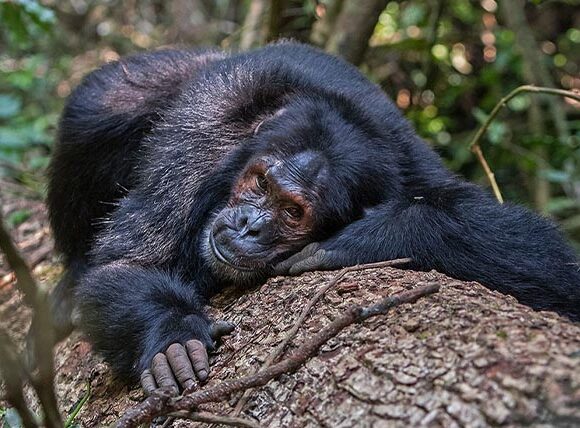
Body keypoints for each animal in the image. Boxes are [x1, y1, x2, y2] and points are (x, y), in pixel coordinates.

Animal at [42, 41, 580, 392]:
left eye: (292, 210)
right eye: (261, 183)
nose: (250, 224)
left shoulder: (409, 167)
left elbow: (547, 262)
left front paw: (365, 237)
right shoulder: (198, 142)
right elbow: (130, 262)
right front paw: (172, 333)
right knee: (102, 107)